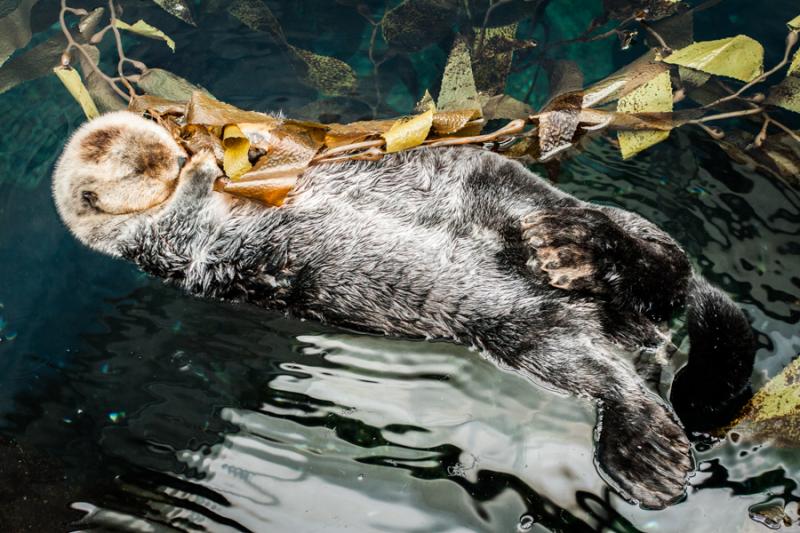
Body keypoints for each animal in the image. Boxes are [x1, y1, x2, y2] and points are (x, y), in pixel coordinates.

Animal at [51, 110, 756, 510]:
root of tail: (642, 333)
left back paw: (572, 247)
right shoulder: (165, 243)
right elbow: (187, 224)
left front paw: (215, 145)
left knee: (666, 263)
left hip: (535, 200)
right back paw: (647, 459)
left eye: (152, 151)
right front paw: (202, 168)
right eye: (135, 168)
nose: (177, 155)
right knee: (616, 381)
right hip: (526, 333)